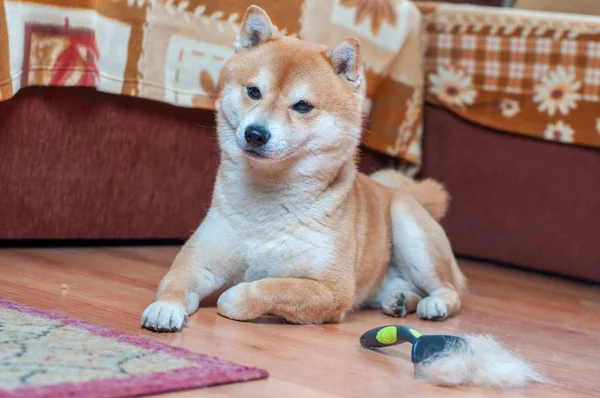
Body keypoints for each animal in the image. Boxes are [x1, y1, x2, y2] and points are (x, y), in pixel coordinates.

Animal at [141, 5, 464, 332]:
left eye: (303, 106)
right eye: (253, 91)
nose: (255, 134)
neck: (266, 203)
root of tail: (399, 191)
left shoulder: (332, 289)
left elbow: (264, 288)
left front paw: (240, 297)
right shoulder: (199, 261)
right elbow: (173, 281)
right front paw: (165, 308)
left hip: (410, 232)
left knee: (450, 291)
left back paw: (433, 304)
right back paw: (399, 300)